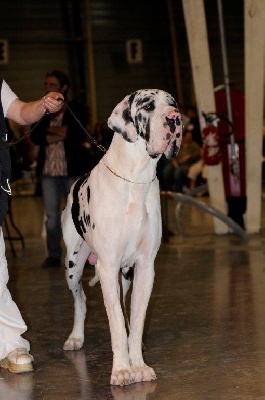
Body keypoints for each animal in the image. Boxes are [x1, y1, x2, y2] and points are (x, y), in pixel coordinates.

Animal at [62, 89, 182, 386]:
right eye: (148, 106)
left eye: (172, 104)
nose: (175, 118)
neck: (136, 179)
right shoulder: (108, 267)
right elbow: (115, 322)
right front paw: (122, 370)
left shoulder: (145, 267)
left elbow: (136, 321)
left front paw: (137, 364)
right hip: (74, 265)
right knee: (80, 301)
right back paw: (75, 337)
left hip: (125, 274)